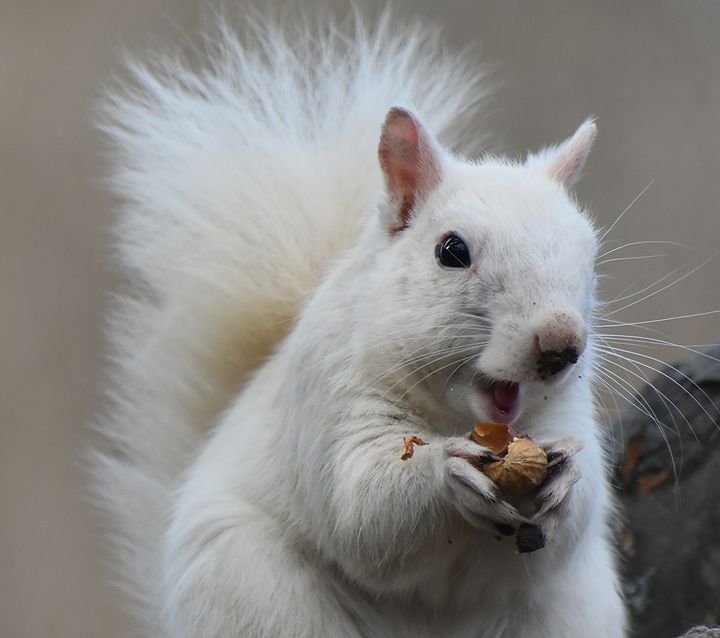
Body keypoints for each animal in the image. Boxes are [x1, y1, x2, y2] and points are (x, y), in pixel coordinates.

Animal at [94, 10, 624, 638]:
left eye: (589, 256)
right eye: (451, 251)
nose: (562, 343)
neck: (456, 416)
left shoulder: (567, 410)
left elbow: (571, 526)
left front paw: (568, 474)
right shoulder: (327, 399)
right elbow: (361, 508)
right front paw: (446, 471)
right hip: (255, 591)